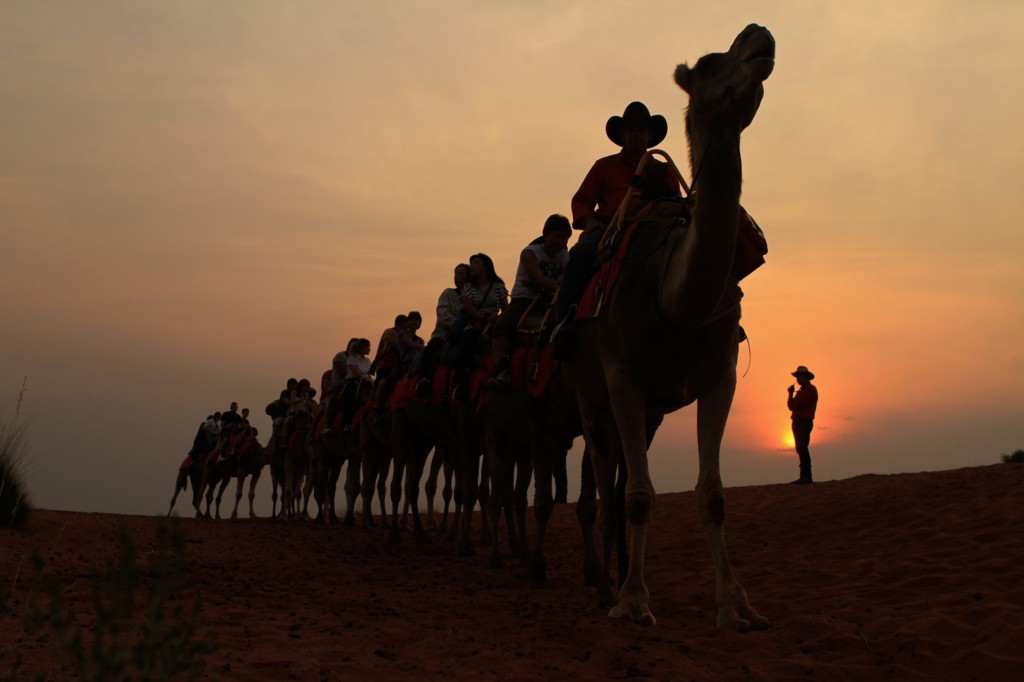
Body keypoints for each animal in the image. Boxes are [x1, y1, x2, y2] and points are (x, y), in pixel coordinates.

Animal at [565, 21, 770, 626]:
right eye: (707, 64)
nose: (759, 33)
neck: (672, 298)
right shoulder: (623, 378)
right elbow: (637, 496)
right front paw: (634, 602)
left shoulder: (718, 376)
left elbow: (713, 495)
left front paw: (735, 604)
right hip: (589, 396)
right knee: (605, 490)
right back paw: (606, 589)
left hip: (651, 412)